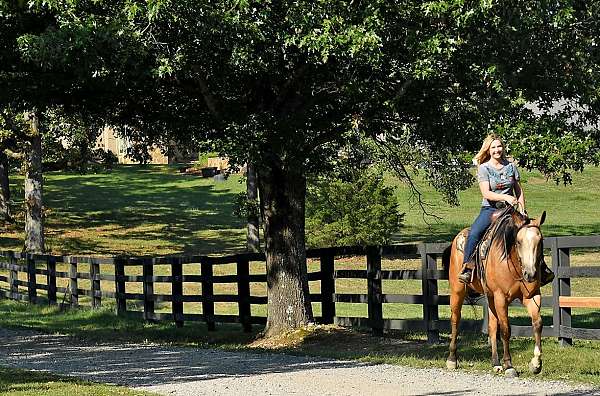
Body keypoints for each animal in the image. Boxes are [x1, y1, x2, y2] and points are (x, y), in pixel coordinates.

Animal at [442, 207, 548, 378]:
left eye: (540, 241)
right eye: (519, 242)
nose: (530, 274)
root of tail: (457, 239)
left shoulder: (531, 296)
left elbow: (537, 323)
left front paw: (536, 364)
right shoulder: (501, 298)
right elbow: (505, 329)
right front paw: (509, 365)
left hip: (490, 298)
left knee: (491, 327)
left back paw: (495, 363)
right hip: (458, 291)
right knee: (455, 320)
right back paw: (452, 359)